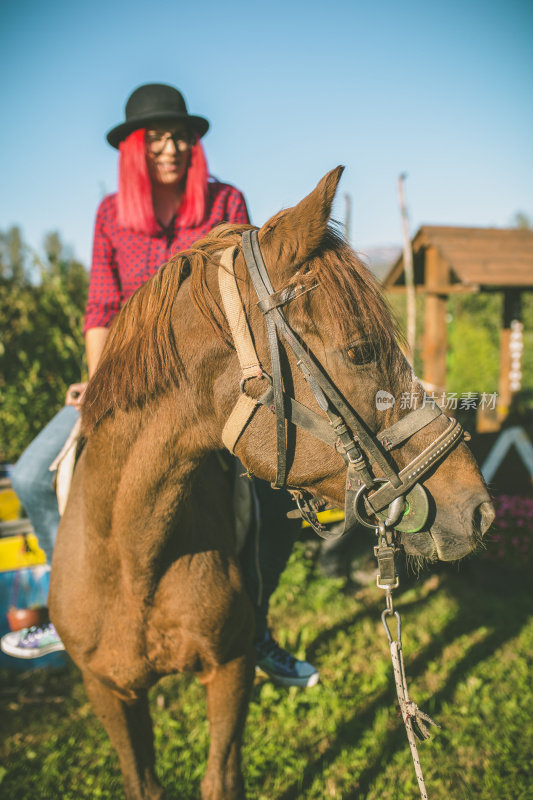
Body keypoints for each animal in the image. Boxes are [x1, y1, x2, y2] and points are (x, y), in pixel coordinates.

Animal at [47, 169, 492, 800]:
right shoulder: (109, 692)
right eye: (360, 349)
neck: (134, 558)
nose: (478, 510)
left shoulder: (230, 672)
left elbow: (221, 779)